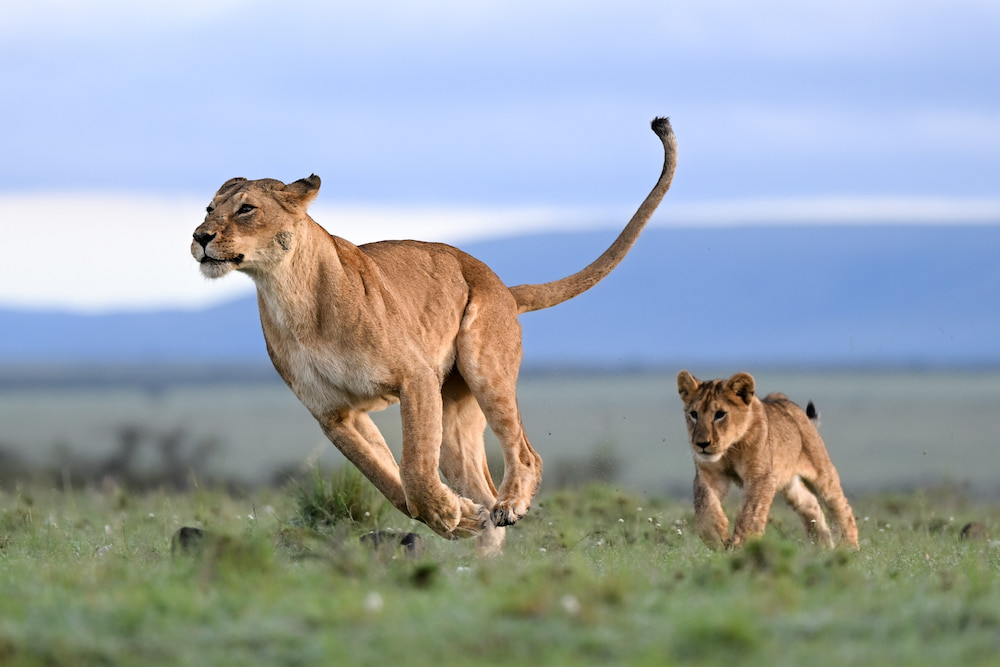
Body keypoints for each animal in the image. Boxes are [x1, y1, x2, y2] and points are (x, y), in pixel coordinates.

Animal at [191, 118, 677, 553]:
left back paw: (509, 507)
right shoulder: (334, 413)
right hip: (455, 415)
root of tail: (503, 286)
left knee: (526, 455)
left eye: (246, 209)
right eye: (210, 208)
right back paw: (483, 558)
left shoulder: (415, 377)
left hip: (485, 370)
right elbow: (390, 483)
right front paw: (459, 519)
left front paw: (447, 515)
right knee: (480, 486)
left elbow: (415, 470)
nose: (199, 236)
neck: (288, 297)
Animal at [676, 370, 859, 550]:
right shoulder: (709, 473)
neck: (730, 449)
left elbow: (751, 511)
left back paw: (849, 547)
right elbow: (705, 505)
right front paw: (716, 538)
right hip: (788, 483)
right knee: (810, 503)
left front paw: (742, 545)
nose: (702, 444)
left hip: (821, 471)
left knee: (841, 505)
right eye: (694, 414)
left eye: (720, 414)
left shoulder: (761, 476)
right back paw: (822, 546)